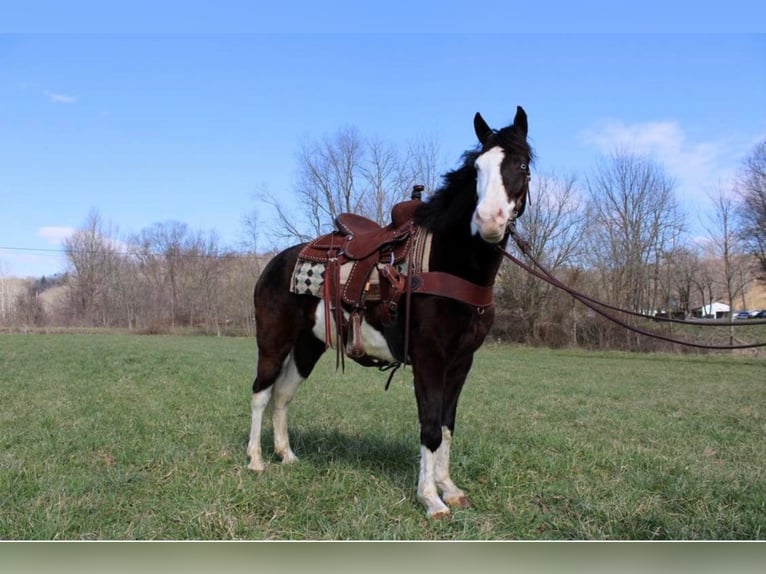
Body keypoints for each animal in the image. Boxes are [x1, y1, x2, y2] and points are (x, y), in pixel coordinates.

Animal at [248, 107, 536, 516]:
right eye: (477, 169)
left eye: (522, 165)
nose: (489, 221)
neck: (446, 262)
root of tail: (274, 263)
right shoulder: (430, 357)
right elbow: (429, 427)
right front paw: (431, 499)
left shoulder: (461, 361)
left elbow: (446, 425)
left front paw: (449, 488)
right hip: (272, 341)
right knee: (261, 392)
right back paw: (256, 460)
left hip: (308, 346)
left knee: (283, 395)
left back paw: (286, 456)